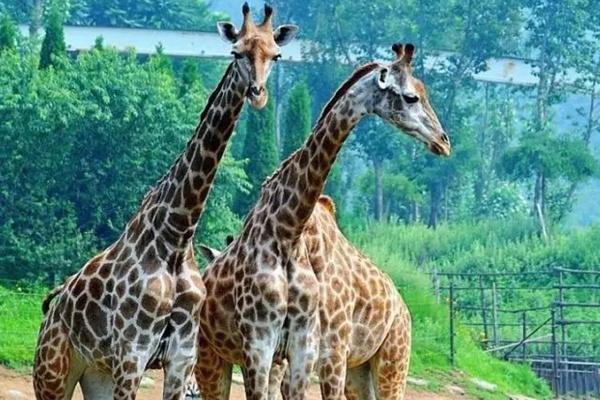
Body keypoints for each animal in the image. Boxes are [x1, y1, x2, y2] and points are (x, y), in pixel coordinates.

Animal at [32, 3, 298, 400]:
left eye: (275, 55)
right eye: (237, 52)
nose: (258, 93)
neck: (175, 235)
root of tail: (51, 308)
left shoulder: (180, 358)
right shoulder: (132, 353)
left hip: (95, 373)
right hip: (52, 371)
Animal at [195, 43, 452, 400]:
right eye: (411, 96)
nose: (444, 141)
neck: (290, 231)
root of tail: (403, 309)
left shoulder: (307, 348)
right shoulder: (264, 345)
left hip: (389, 360)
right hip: (210, 355)